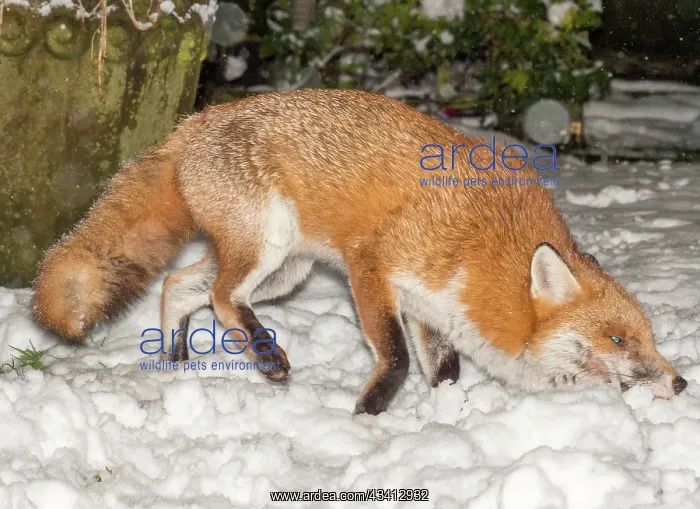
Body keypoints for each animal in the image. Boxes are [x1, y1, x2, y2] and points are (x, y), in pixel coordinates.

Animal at [31, 89, 687, 414]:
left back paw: (172, 356)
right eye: (618, 340)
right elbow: (394, 358)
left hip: (284, 271)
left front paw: (445, 415)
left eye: (649, 339)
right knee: (218, 296)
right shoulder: (372, 266)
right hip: (269, 247)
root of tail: (190, 124)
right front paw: (368, 413)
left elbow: (444, 371)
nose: (682, 385)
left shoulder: (433, 308)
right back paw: (266, 358)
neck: (486, 253)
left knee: (183, 285)